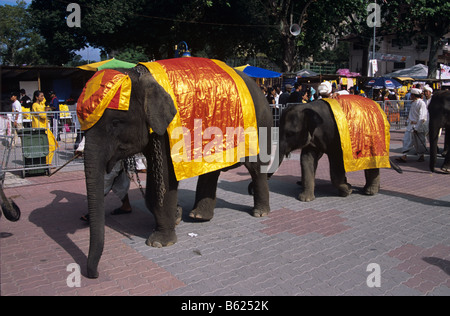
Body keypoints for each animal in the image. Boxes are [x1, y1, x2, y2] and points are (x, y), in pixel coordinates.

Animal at [79, 58, 272, 278]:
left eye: (116, 122)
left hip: (259, 126)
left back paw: (260, 213)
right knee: (211, 171)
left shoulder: (168, 132)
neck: (139, 75)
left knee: (256, 168)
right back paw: (198, 216)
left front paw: (158, 243)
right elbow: (155, 183)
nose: (94, 274)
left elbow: (165, 179)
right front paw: (177, 216)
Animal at [272, 95, 400, 202]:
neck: (309, 107)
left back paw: (369, 192)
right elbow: (306, 159)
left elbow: (336, 165)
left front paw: (348, 191)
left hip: (375, 137)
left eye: (290, 133)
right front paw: (305, 199)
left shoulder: (336, 137)